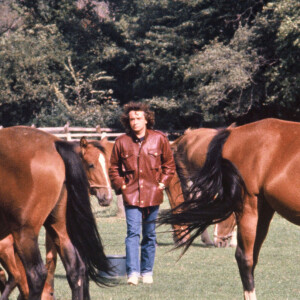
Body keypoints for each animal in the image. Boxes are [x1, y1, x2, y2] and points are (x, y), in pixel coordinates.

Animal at [0, 127, 111, 300]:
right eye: (91, 165)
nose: (107, 197)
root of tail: (55, 144)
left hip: (24, 232)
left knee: (36, 274)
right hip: (59, 230)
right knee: (75, 269)